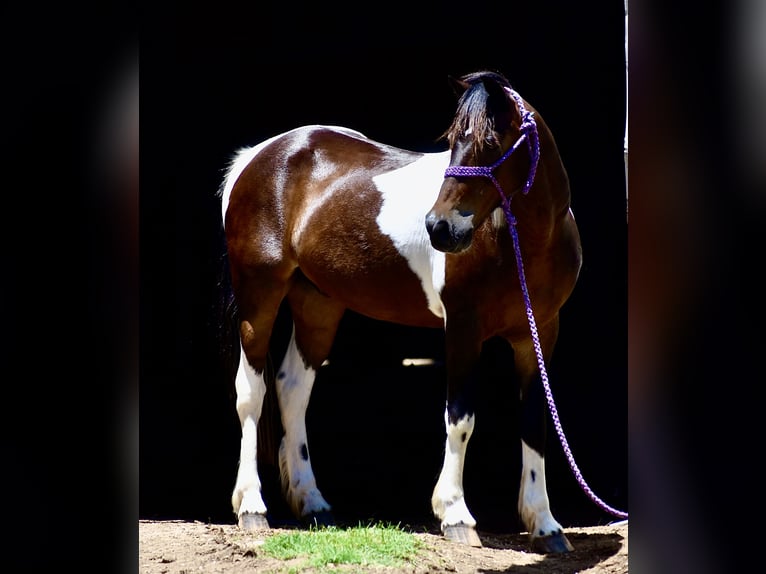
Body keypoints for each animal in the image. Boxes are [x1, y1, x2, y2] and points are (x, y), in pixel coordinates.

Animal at [217, 70, 582, 553]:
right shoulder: (463, 328)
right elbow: (460, 418)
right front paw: (455, 515)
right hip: (260, 297)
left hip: (318, 305)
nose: (440, 228)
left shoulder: (539, 332)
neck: (523, 244)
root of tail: (255, 156)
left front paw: (545, 525)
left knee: (292, 388)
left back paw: (314, 505)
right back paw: (252, 508)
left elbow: (534, 422)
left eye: (492, 141)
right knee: (251, 392)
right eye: (453, 140)